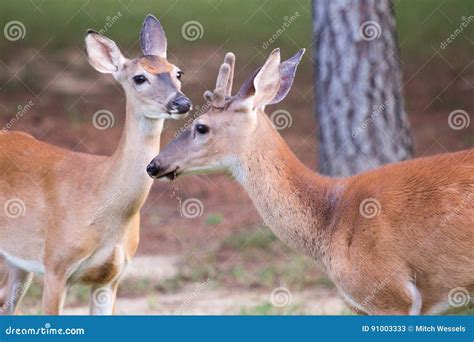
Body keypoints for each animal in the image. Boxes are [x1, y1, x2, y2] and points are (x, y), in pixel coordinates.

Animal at [0, 15, 191, 316]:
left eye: (178, 72)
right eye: (139, 78)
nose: (182, 102)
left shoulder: (110, 278)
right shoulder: (55, 265)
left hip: (18, 260)